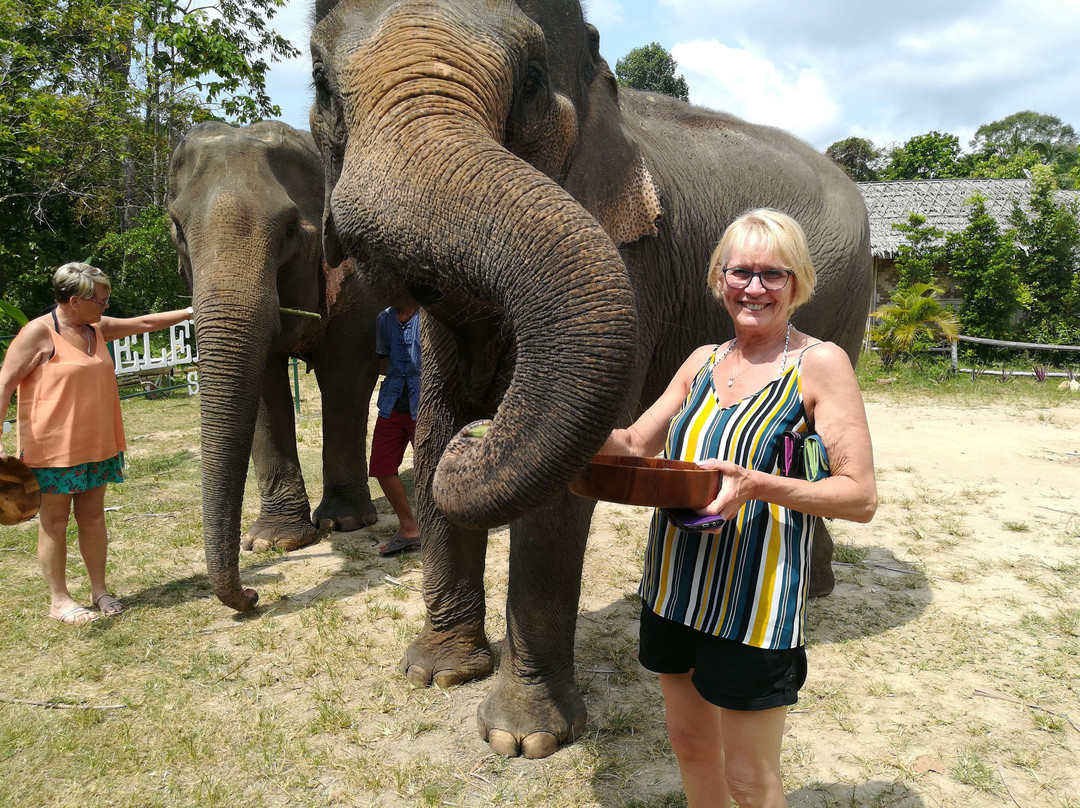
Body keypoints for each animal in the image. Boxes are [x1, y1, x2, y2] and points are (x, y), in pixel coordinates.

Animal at [168, 120, 383, 611]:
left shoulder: (359, 279)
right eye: (177, 230)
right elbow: (266, 390)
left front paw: (345, 525)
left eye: (288, 230)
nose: (252, 595)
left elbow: (345, 375)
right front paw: (275, 542)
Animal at [309, 0, 873, 758]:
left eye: (531, 79)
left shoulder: (633, 269)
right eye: (320, 83)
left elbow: (555, 498)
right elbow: (432, 435)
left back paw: (815, 593)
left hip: (848, 306)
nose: (486, 433)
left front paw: (522, 740)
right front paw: (437, 673)